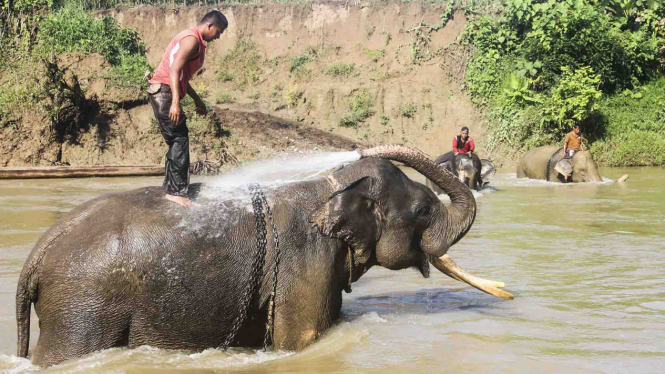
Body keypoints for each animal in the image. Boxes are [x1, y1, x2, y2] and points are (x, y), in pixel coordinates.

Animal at [16, 146, 512, 368]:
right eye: (424, 209)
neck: (328, 186)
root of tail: (35, 259)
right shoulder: (306, 261)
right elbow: (302, 341)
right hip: (83, 311)